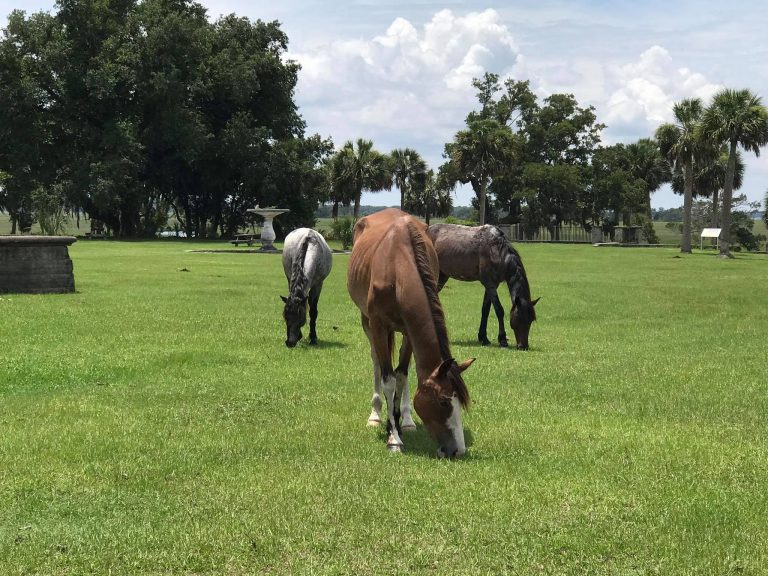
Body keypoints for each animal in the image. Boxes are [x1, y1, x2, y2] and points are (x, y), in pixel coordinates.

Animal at [347, 208, 475, 457]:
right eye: (444, 401)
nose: (458, 450)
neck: (397, 264)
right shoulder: (378, 325)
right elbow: (388, 379)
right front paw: (393, 438)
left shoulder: (409, 329)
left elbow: (402, 375)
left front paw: (399, 424)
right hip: (367, 321)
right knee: (376, 361)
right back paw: (375, 415)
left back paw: (406, 420)